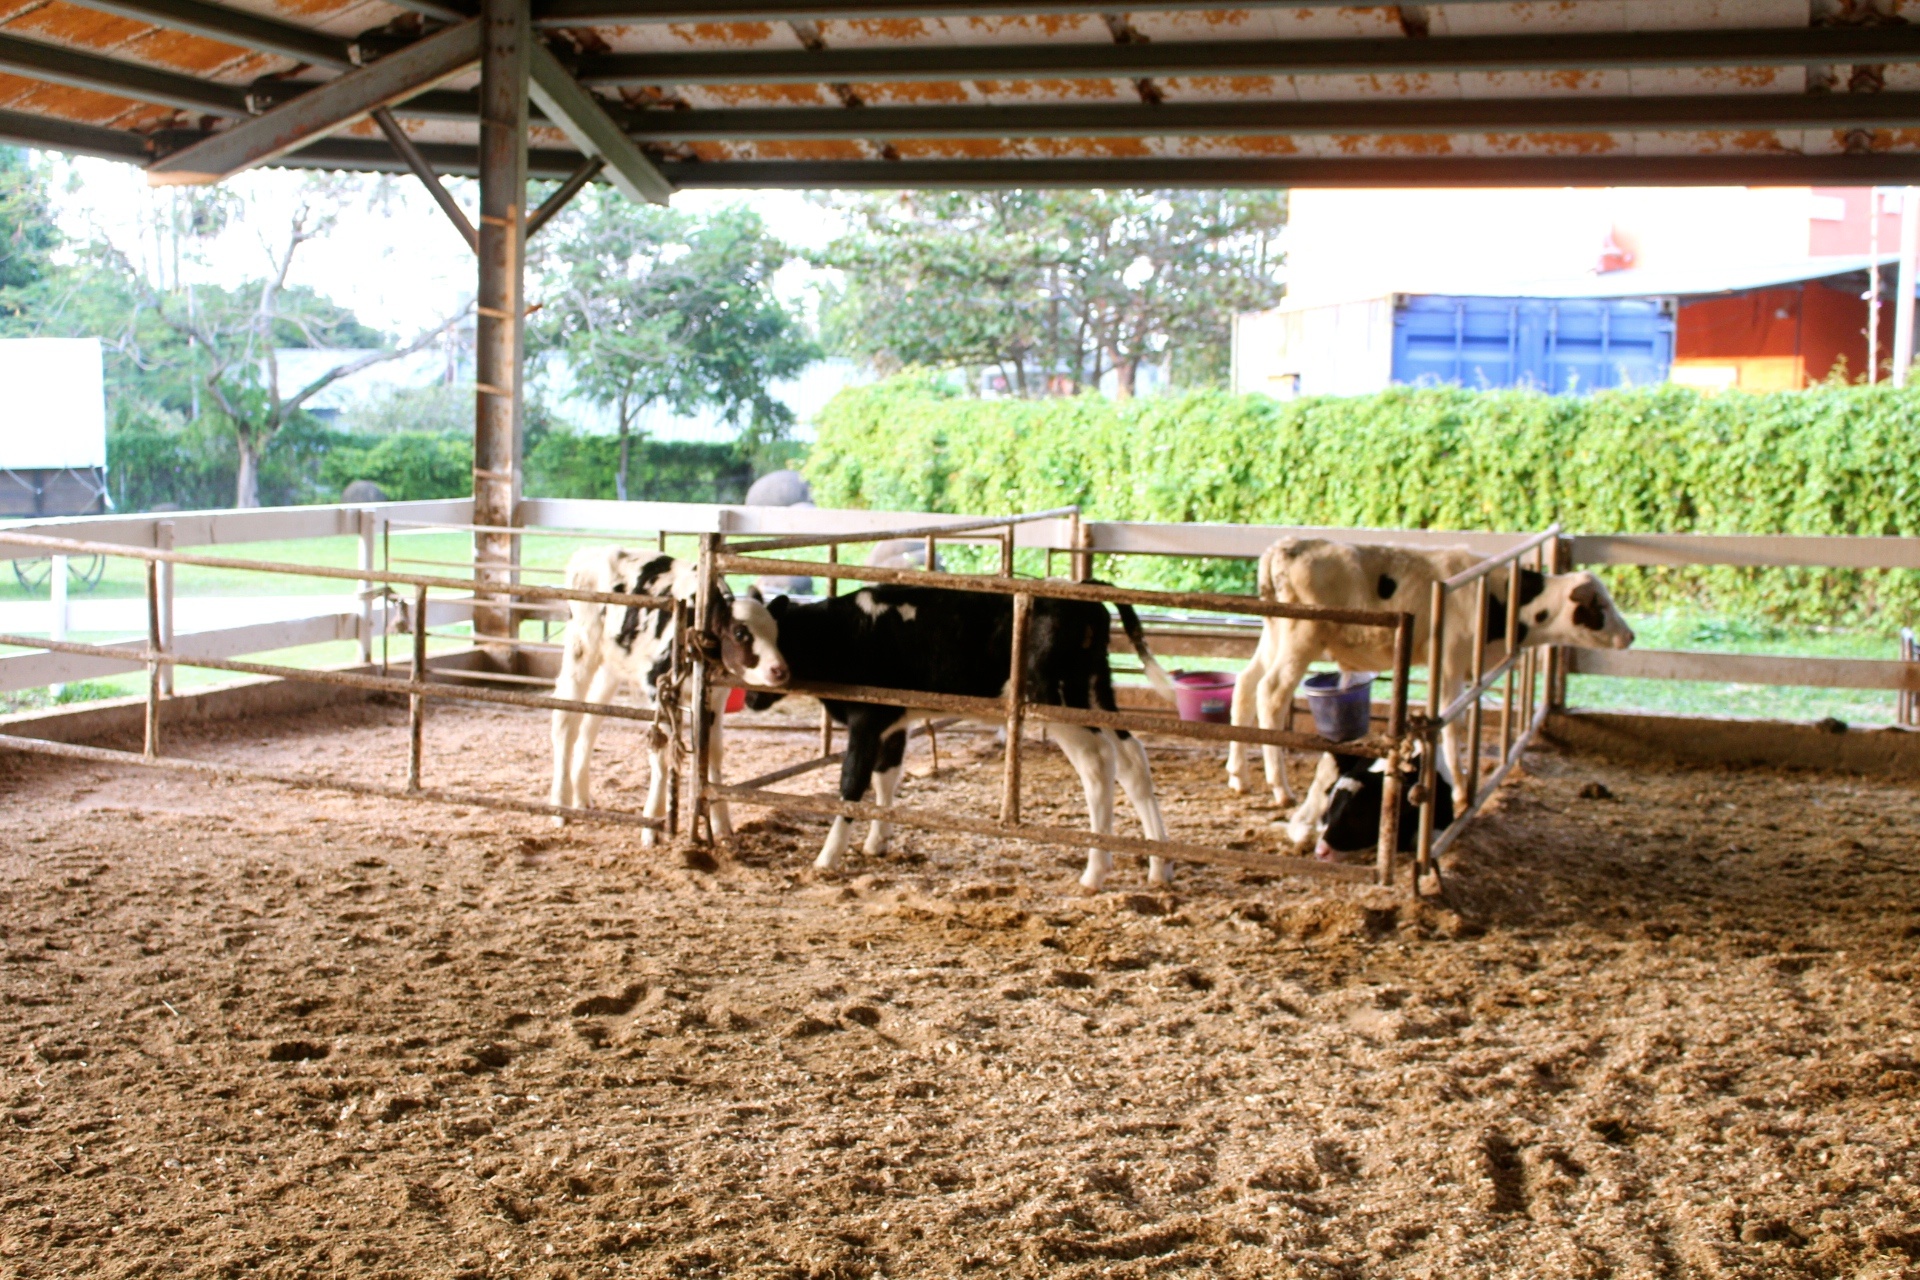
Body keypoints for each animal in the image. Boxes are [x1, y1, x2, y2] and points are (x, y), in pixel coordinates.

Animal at [552, 548, 791, 840]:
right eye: (739, 632)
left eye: (776, 633)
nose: (780, 670)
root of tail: (591, 552)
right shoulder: (657, 687)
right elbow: (663, 753)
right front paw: (652, 825)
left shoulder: (715, 699)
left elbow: (713, 756)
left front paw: (721, 823)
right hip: (581, 649)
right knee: (566, 720)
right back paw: (560, 806)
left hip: (612, 666)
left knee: (590, 721)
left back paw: (582, 797)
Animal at [752, 583, 1175, 890]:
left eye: (777, 640)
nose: (754, 696)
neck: (842, 631)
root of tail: (1084, 593)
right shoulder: (893, 722)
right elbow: (887, 776)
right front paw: (877, 841)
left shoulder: (867, 719)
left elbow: (852, 783)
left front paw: (827, 858)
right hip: (1095, 690)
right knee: (1132, 759)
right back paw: (1159, 865)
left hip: (1055, 701)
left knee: (1098, 764)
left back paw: (1095, 870)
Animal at [1228, 537, 1635, 802]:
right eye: (1599, 606)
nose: (1630, 635)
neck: (1498, 598)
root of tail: (1285, 547)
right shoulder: (1452, 662)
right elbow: (1452, 725)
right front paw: (1460, 789)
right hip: (1302, 636)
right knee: (1271, 692)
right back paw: (1280, 789)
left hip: (1275, 632)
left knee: (1245, 685)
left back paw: (1239, 776)